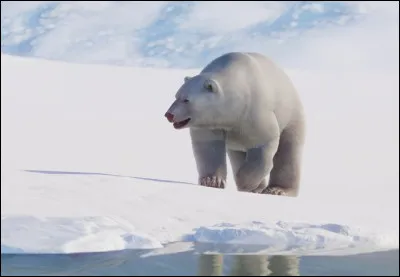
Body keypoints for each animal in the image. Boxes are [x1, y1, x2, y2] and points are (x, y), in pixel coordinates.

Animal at [164, 50, 304, 195]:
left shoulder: (253, 110)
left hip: (291, 114)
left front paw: (245, 182)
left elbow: (263, 141)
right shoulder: (210, 121)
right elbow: (209, 145)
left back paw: (277, 189)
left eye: (186, 100)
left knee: (288, 150)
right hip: (237, 143)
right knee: (238, 155)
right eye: (176, 95)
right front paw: (212, 181)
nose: (169, 114)